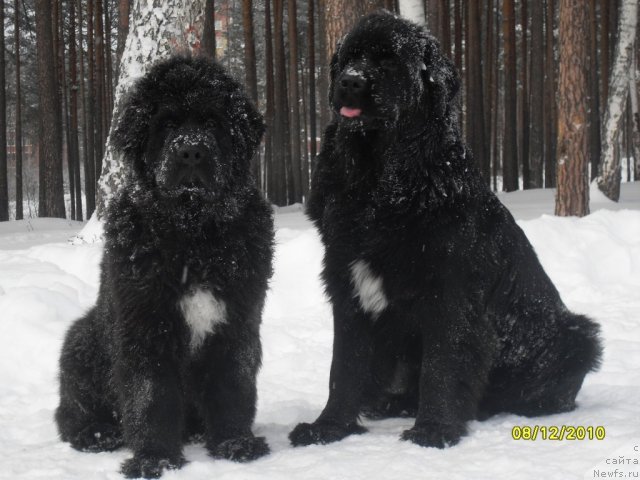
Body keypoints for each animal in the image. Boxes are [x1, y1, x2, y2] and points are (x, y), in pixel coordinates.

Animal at [56, 55, 274, 476]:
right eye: (168, 124)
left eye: (211, 122)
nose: (191, 152)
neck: (193, 234)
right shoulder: (146, 324)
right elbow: (151, 396)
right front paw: (154, 457)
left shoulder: (236, 321)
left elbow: (233, 386)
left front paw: (235, 443)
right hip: (80, 340)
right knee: (69, 415)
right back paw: (97, 434)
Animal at [292, 12, 604, 450]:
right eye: (349, 58)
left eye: (388, 62)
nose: (351, 81)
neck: (378, 179)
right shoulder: (347, 284)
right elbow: (344, 367)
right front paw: (328, 427)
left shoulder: (449, 293)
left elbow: (441, 364)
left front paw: (433, 429)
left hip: (577, 335)